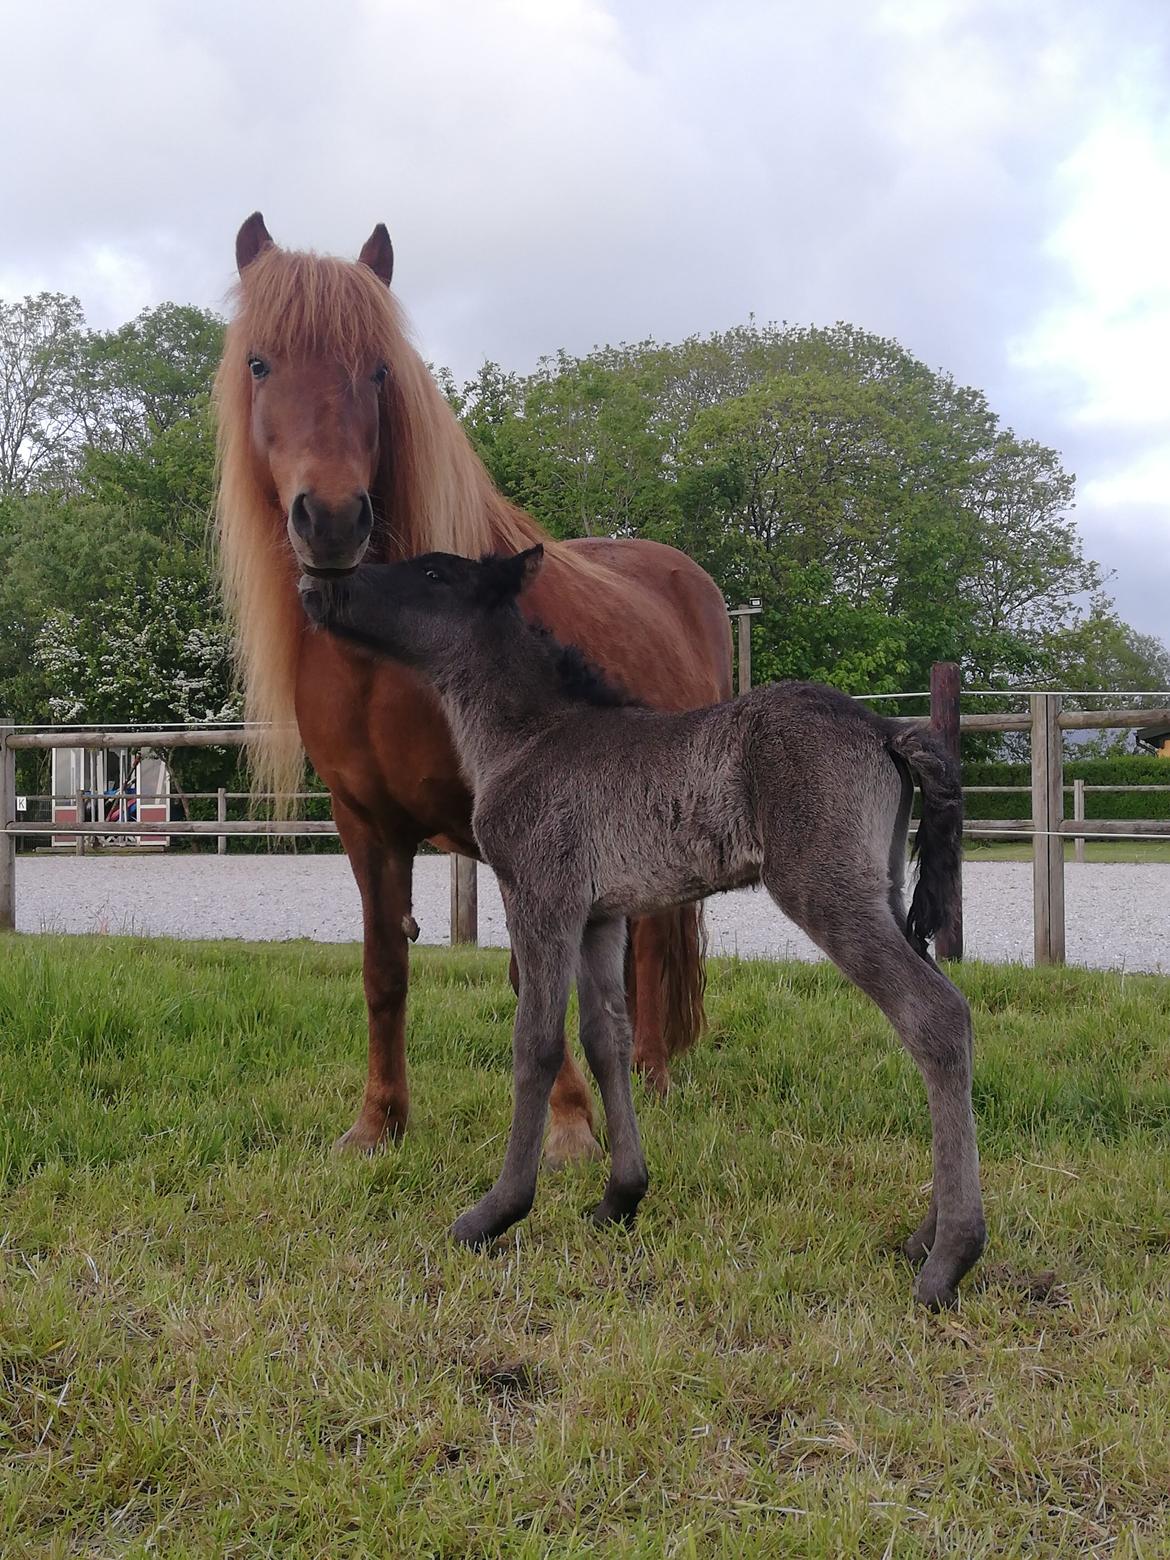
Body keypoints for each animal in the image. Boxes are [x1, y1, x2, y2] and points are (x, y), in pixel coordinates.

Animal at [213, 213, 733, 1166]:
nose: (332, 520)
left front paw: (567, 1130)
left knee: (651, 945)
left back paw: (651, 1074)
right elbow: (385, 968)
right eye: (259, 363)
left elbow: (535, 978)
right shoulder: (365, 826)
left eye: (379, 370)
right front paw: (377, 1122)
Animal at [304, 546, 992, 1304]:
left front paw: (495, 1212)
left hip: (826, 889)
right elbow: (606, 1036)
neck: (528, 737)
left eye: (432, 575)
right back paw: (923, 1237)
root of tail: (886, 729)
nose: (319, 586)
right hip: (884, 892)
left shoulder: (541, 897)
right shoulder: (602, 915)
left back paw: (949, 1258)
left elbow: (535, 1043)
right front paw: (620, 1196)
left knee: (933, 1015)